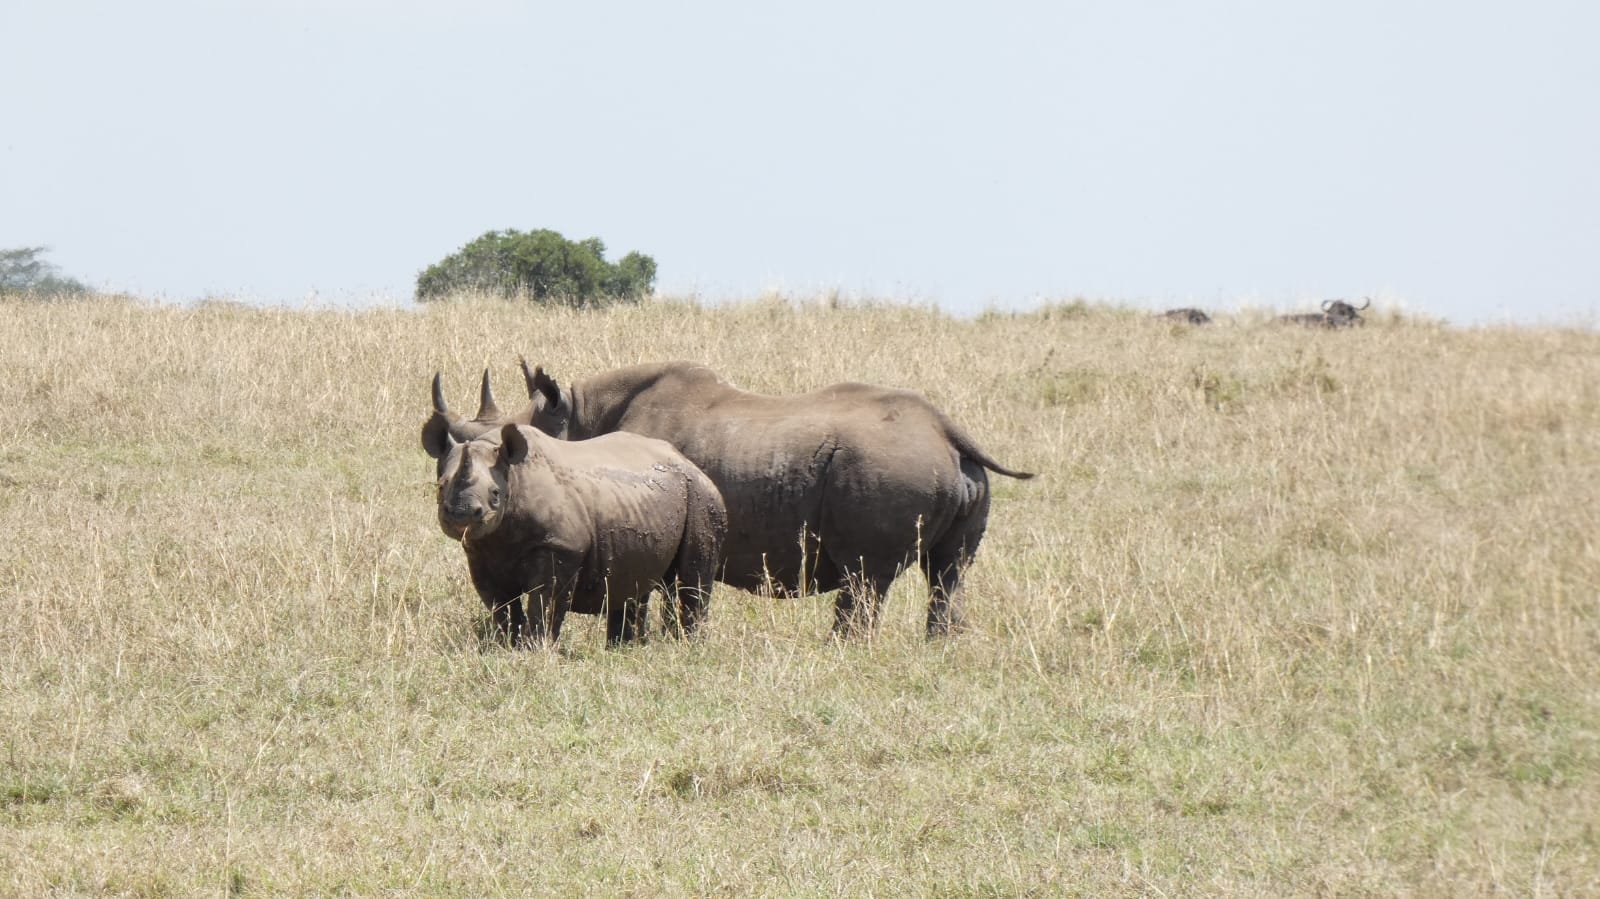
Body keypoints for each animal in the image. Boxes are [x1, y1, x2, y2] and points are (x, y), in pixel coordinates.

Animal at [423, 418, 726, 647]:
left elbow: (546, 601)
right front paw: (507, 645)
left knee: (692, 579)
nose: (461, 514)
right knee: (634, 580)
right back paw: (625, 649)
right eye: (441, 486)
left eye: (496, 494)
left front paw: (536, 648)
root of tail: (689, 462)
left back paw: (687, 646)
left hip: (701, 496)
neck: (514, 477)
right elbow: (501, 604)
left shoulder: (561, 546)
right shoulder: (480, 549)